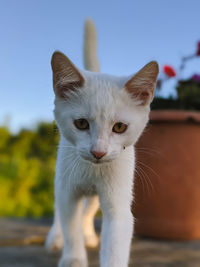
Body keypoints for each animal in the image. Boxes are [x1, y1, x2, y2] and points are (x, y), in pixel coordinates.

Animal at [45, 19, 158, 267]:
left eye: (119, 127)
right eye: (81, 123)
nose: (98, 152)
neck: (92, 171)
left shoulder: (118, 203)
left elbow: (114, 242)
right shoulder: (67, 192)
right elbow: (70, 226)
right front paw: (73, 258)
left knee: (88, 211)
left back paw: (88, 235)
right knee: (61, 213)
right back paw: (55, 237)